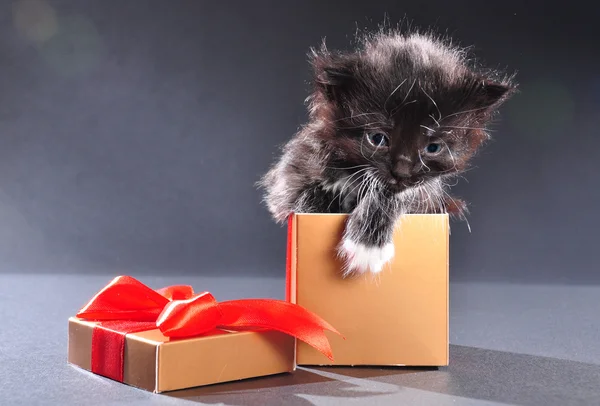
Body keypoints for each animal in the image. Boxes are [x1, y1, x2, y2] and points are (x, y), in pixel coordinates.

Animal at [258, 29, 516, 276]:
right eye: (377, 139)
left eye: (433, 148)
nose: (401, 172)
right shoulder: (288, 178)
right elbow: (305, 196)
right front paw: (318, 206)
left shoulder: (427, 198)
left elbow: (397, 194)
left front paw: (366, 245)